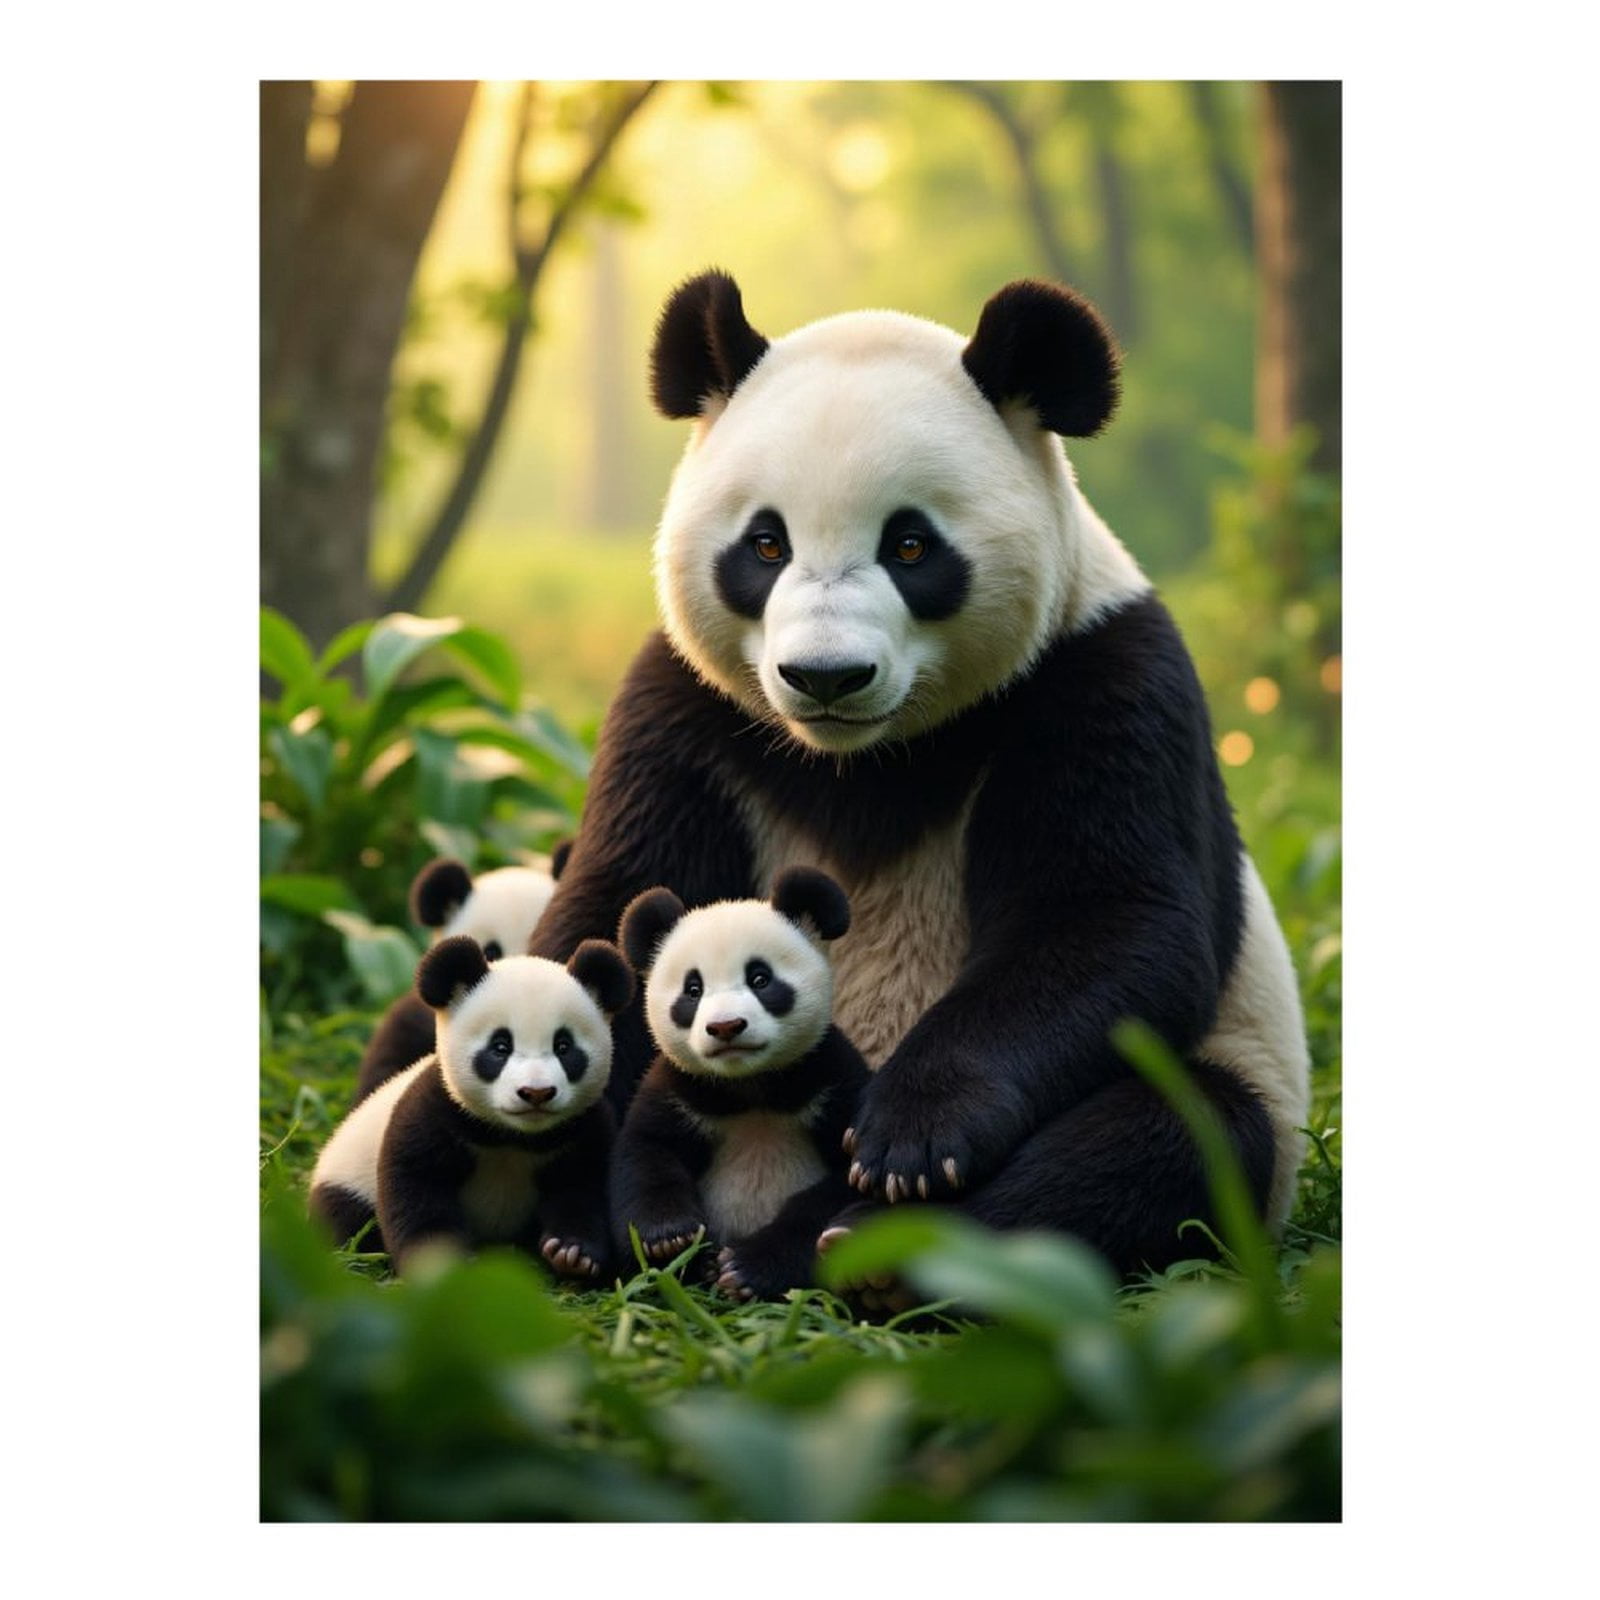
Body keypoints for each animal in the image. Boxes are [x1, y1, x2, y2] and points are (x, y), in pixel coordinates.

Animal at [309, 935, 632, 1278]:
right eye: (500, 1047)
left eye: (564, 1047)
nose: (536, 1092)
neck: (515, 1137)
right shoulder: (435, 1112)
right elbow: (417, 1185)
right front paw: (440, 1264)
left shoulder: (584, 1129)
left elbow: (583, 1187)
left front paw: (571, 1254)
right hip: (349, 1177)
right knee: (343, 1216)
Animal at [611, 866, 869, 1300]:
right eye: (693, 989)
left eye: (760, 979)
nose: (726, 1026)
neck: (750, 1087)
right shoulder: (680, 1088)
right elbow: (647, 1150)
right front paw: (668, 1237)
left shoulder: (833, 1081)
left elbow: (836, 1190)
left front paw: (745, 1268)